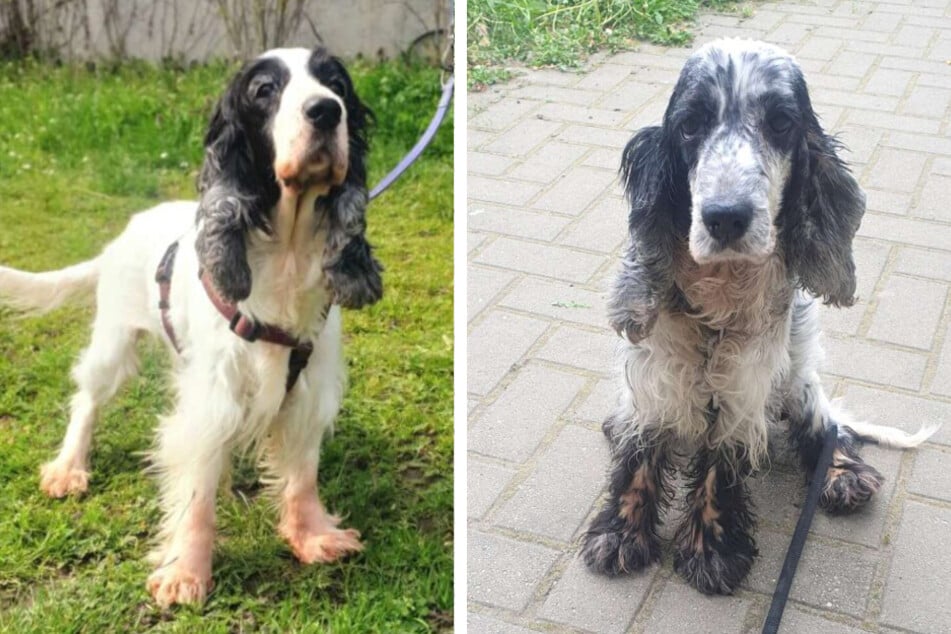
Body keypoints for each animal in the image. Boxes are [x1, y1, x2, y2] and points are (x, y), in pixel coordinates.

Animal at [0, 45, 384, 608]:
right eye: (264, 90)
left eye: (335, 84)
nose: (325, 111)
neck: (285, 256)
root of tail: (124, 232)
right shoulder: (214, 394)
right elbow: (197, 487)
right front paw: (186, 571)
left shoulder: (308, 386)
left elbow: (301, 475)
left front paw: (312, 535)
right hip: (113, 341)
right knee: (87, 400)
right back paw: (69, 467)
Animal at [580, 38, 936, 592]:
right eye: (691, 125)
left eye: (781, 123)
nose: (726, 217)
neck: (718, 295)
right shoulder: (655, 369)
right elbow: (644, 446)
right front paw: (620, 533)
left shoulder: (744, 379)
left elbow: (722, 458)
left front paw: (711, 546)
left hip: (797, 375)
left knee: (826, 424)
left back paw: (844, 476)